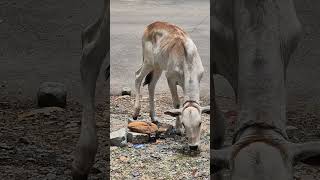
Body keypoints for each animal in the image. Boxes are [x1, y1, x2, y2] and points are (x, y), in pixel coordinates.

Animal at [132, 21, 210, 150]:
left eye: (200, 123)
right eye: (184, 123)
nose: (193, 146)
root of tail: (151, 25)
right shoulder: (170, 78)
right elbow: (177, 103)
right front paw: (178, 129)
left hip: (158, 66)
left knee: (151, 85)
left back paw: (154, 117)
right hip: (149, 61)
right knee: (138, 76)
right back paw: (135, 112)